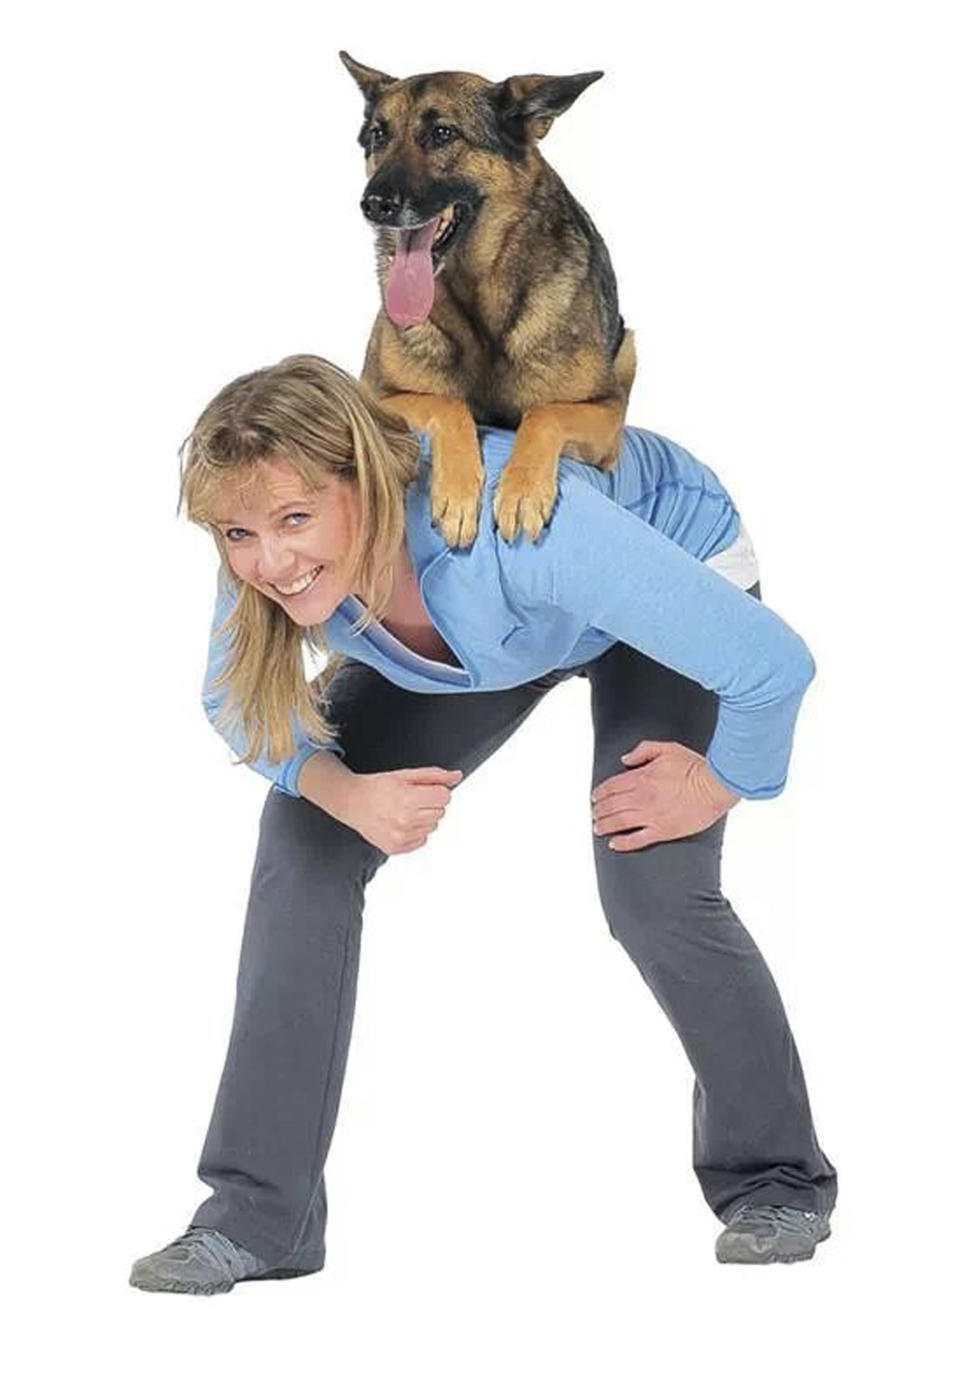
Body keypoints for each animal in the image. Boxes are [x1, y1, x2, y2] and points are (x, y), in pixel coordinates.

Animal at [340, 53, 639, 550]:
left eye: (443, 133)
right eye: (379, 135)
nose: (373, 204)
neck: (478, 303)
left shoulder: (606, 414)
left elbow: (544, 413)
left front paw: (522, 490)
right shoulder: (378, 397)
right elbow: (448, 405)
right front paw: (458, 493)